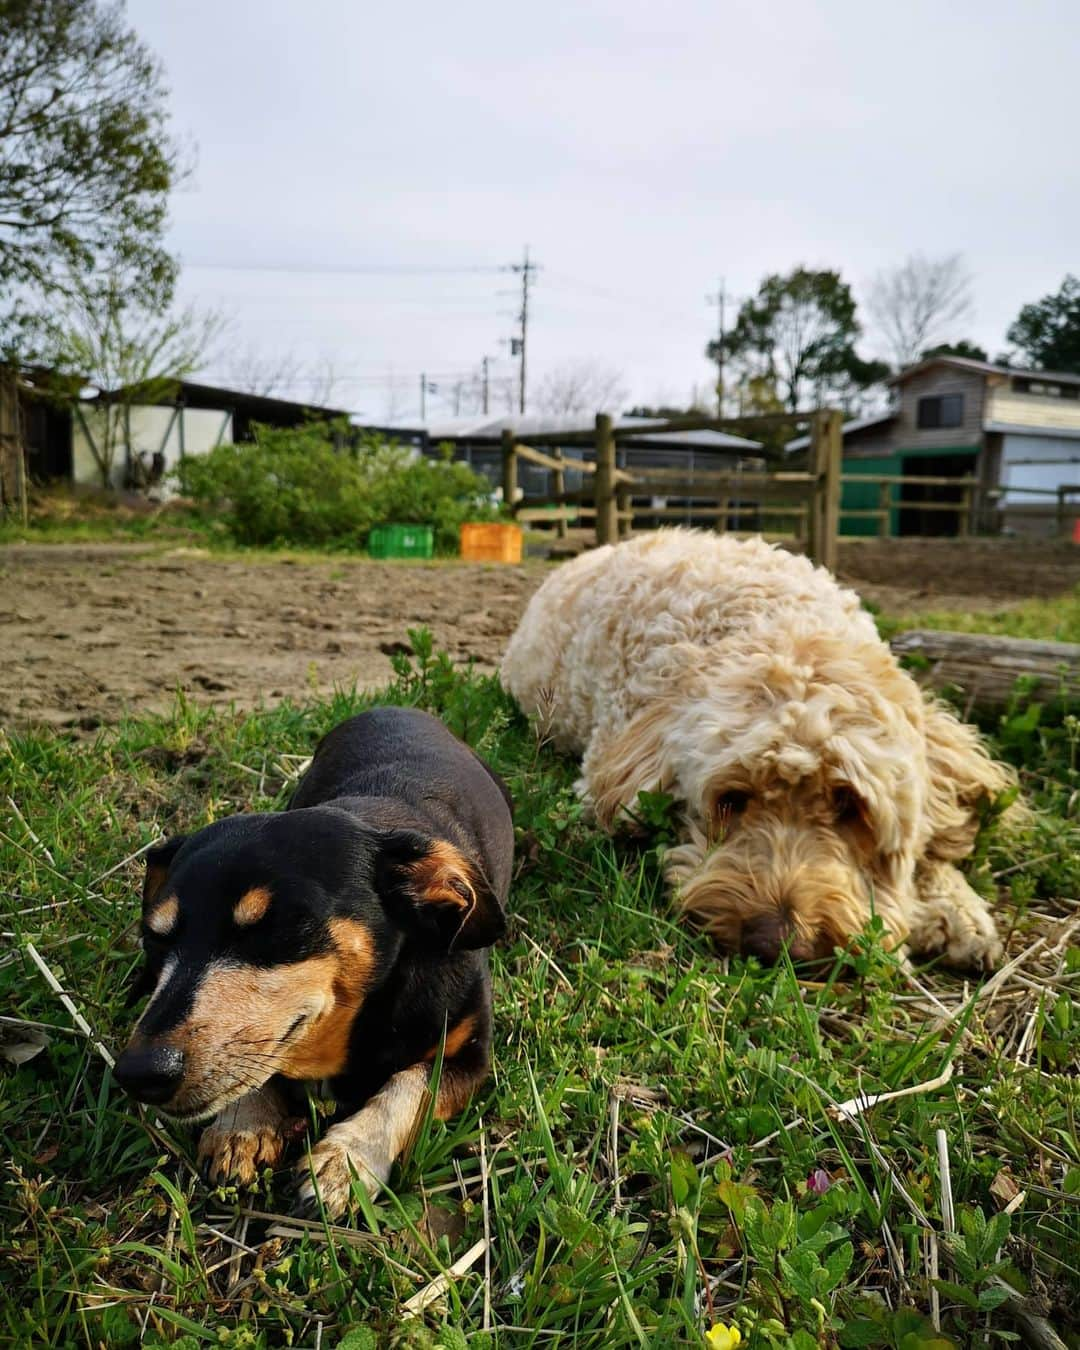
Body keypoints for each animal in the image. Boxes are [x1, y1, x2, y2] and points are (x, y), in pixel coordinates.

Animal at [114, 707, 515, 1215]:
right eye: (154, 937)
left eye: (279, 926)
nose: (139, 1073)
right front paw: (243, 1124)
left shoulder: (470, 1055)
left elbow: (408, 1087)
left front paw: (345, 1161)